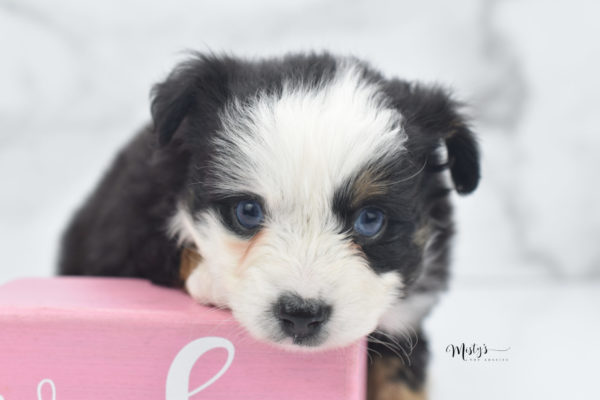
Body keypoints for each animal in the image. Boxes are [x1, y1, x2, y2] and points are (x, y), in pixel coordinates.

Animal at [59, 53, 478, 400]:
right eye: (247, 211)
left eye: (371, 219)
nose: (301, 315)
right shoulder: (131, 225)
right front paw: (212, 279)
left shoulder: (403, 326)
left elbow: (401, 382)